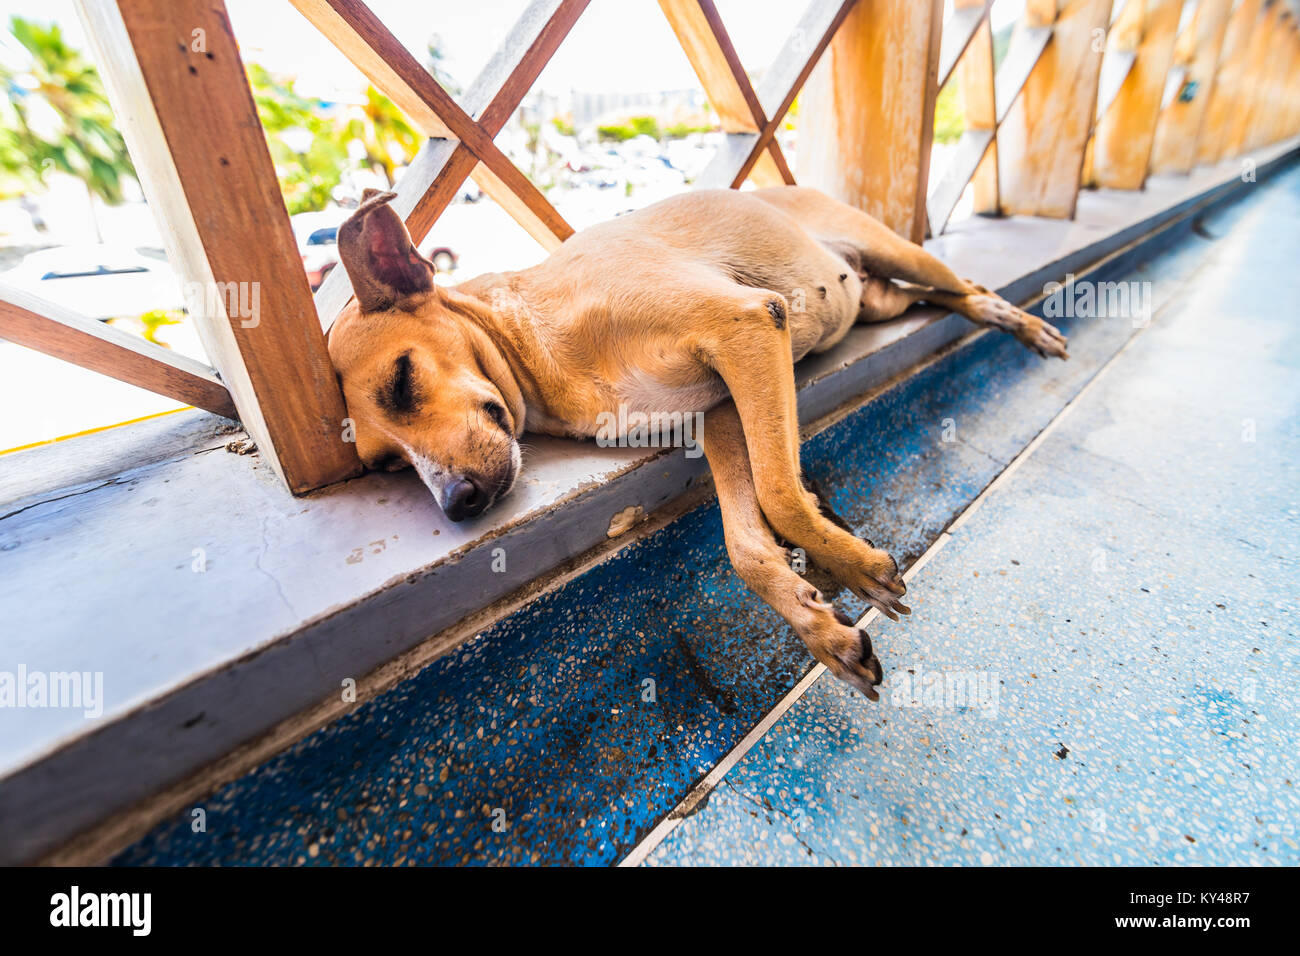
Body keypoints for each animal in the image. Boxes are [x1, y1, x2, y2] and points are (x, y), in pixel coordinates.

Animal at [327, 184, 1066, 697]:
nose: (455, 503)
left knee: (961, 283)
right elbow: (747, 543)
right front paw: (814, 620)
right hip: (877, 302)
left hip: (896, 253)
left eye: (402, 379)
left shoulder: (745, 326)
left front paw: (852, 564)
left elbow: (779, 491)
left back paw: (1021, 320)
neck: (538, 337)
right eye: (386, 464)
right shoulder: (718, 410)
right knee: (940, 297)